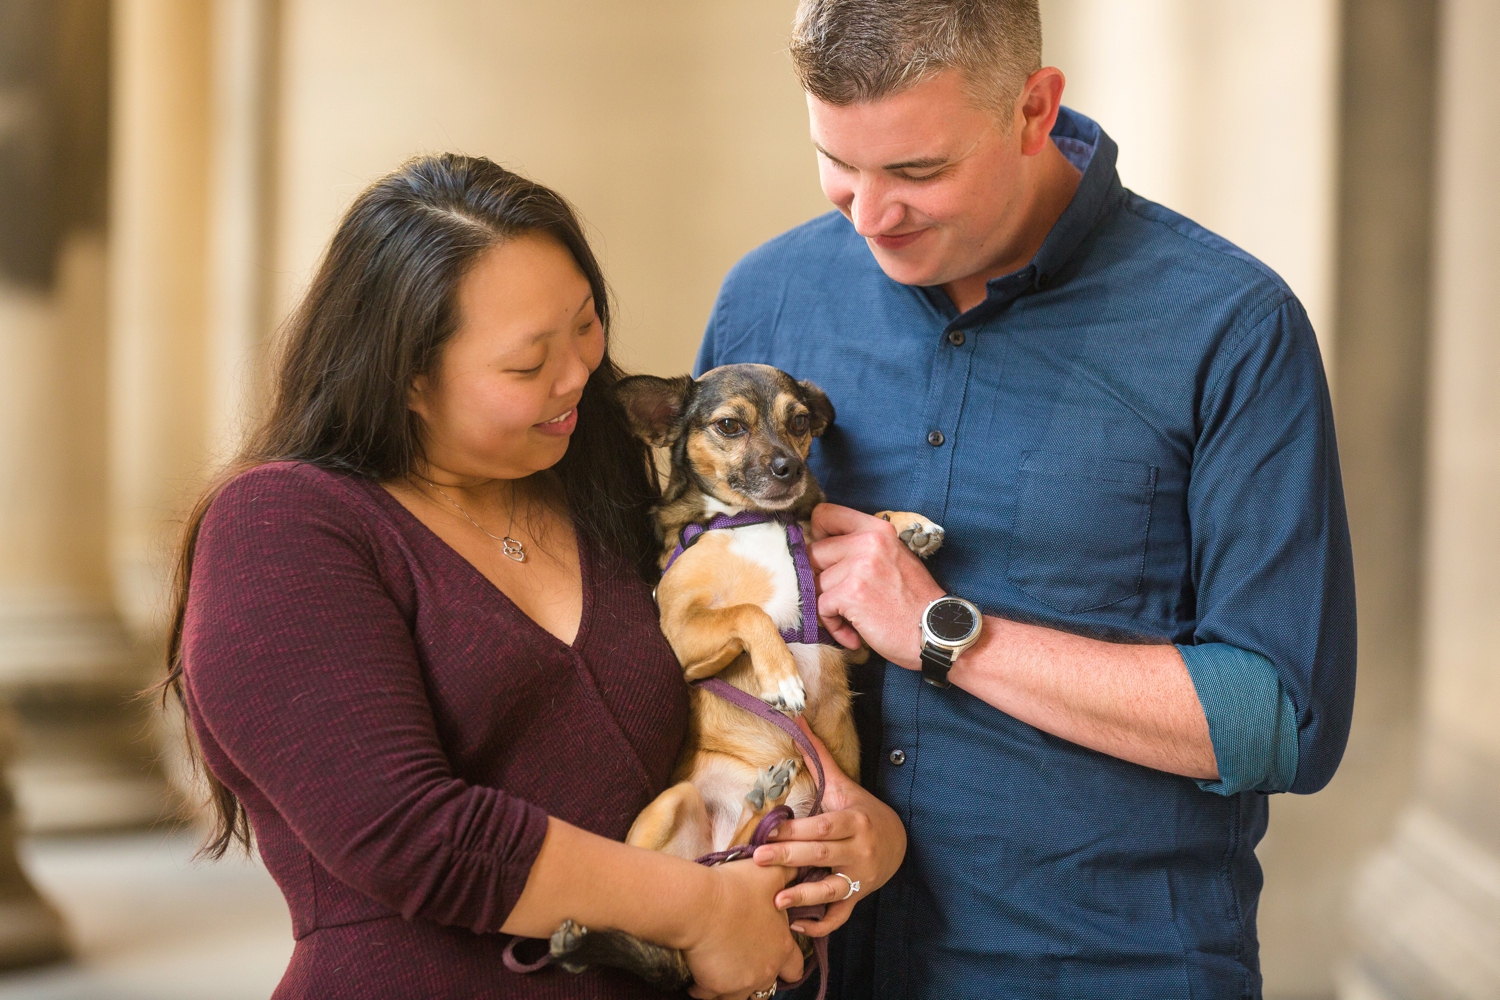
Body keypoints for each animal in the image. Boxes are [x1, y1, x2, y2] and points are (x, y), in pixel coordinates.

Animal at [552, 364, 942, 989]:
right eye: (729, 425)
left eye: (800, 421)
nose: (790, 468)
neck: (753, 520)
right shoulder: (678, 630)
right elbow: (748, 613)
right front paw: (780, 676)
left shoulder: (846, 639)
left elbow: (854, 527)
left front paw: (906, 526)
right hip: (672, 810)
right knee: (715, 881)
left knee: (745, 857)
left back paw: (766, 800)